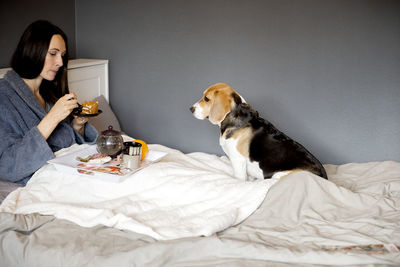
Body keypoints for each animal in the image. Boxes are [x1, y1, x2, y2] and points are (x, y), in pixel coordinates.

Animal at [191, 82, 328, 181]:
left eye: (206, 99)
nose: (191, 109)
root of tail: (325, 178)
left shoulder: (238, 159)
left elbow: (239, 178)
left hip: (278, 175)